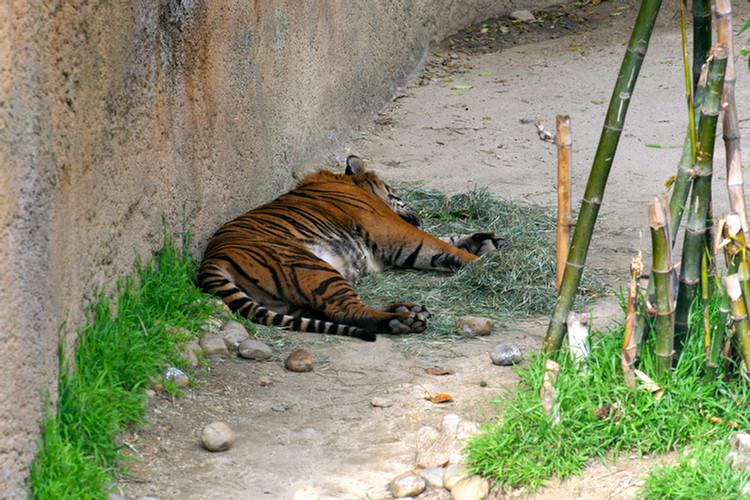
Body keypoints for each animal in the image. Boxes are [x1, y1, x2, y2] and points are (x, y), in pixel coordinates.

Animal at [200, 156, 506, 342]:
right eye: (398, 195)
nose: (420, 217)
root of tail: (210, 260)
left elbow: (444, 242)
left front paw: (485, 242)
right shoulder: (392, 230)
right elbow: (436, 243)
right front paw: (485, 263)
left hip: (295, 296)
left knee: (332, 311)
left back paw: (409, 308)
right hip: (311, 266)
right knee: (344, 310)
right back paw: (406, 319)